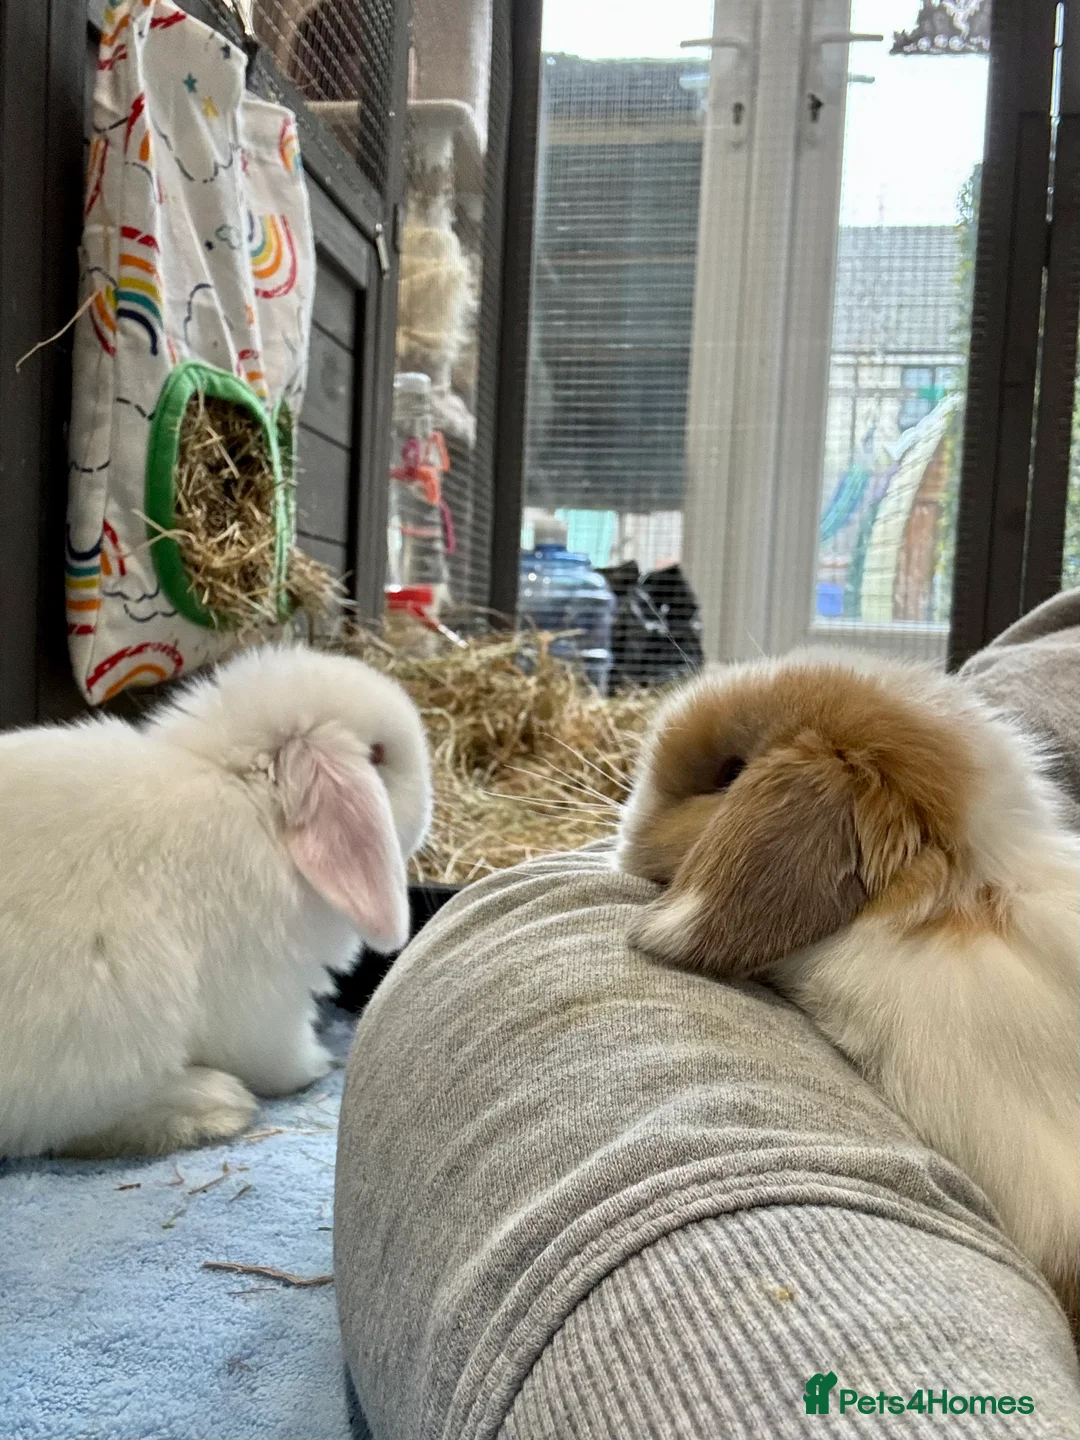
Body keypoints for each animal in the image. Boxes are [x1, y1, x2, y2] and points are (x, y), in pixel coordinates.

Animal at [0, 643, 431, 1160]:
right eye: (379, 753)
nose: (428, 806)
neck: (248, 795)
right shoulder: (267, 1002)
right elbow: (279, 1056)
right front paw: (317, 1065)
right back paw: (214, 1105)